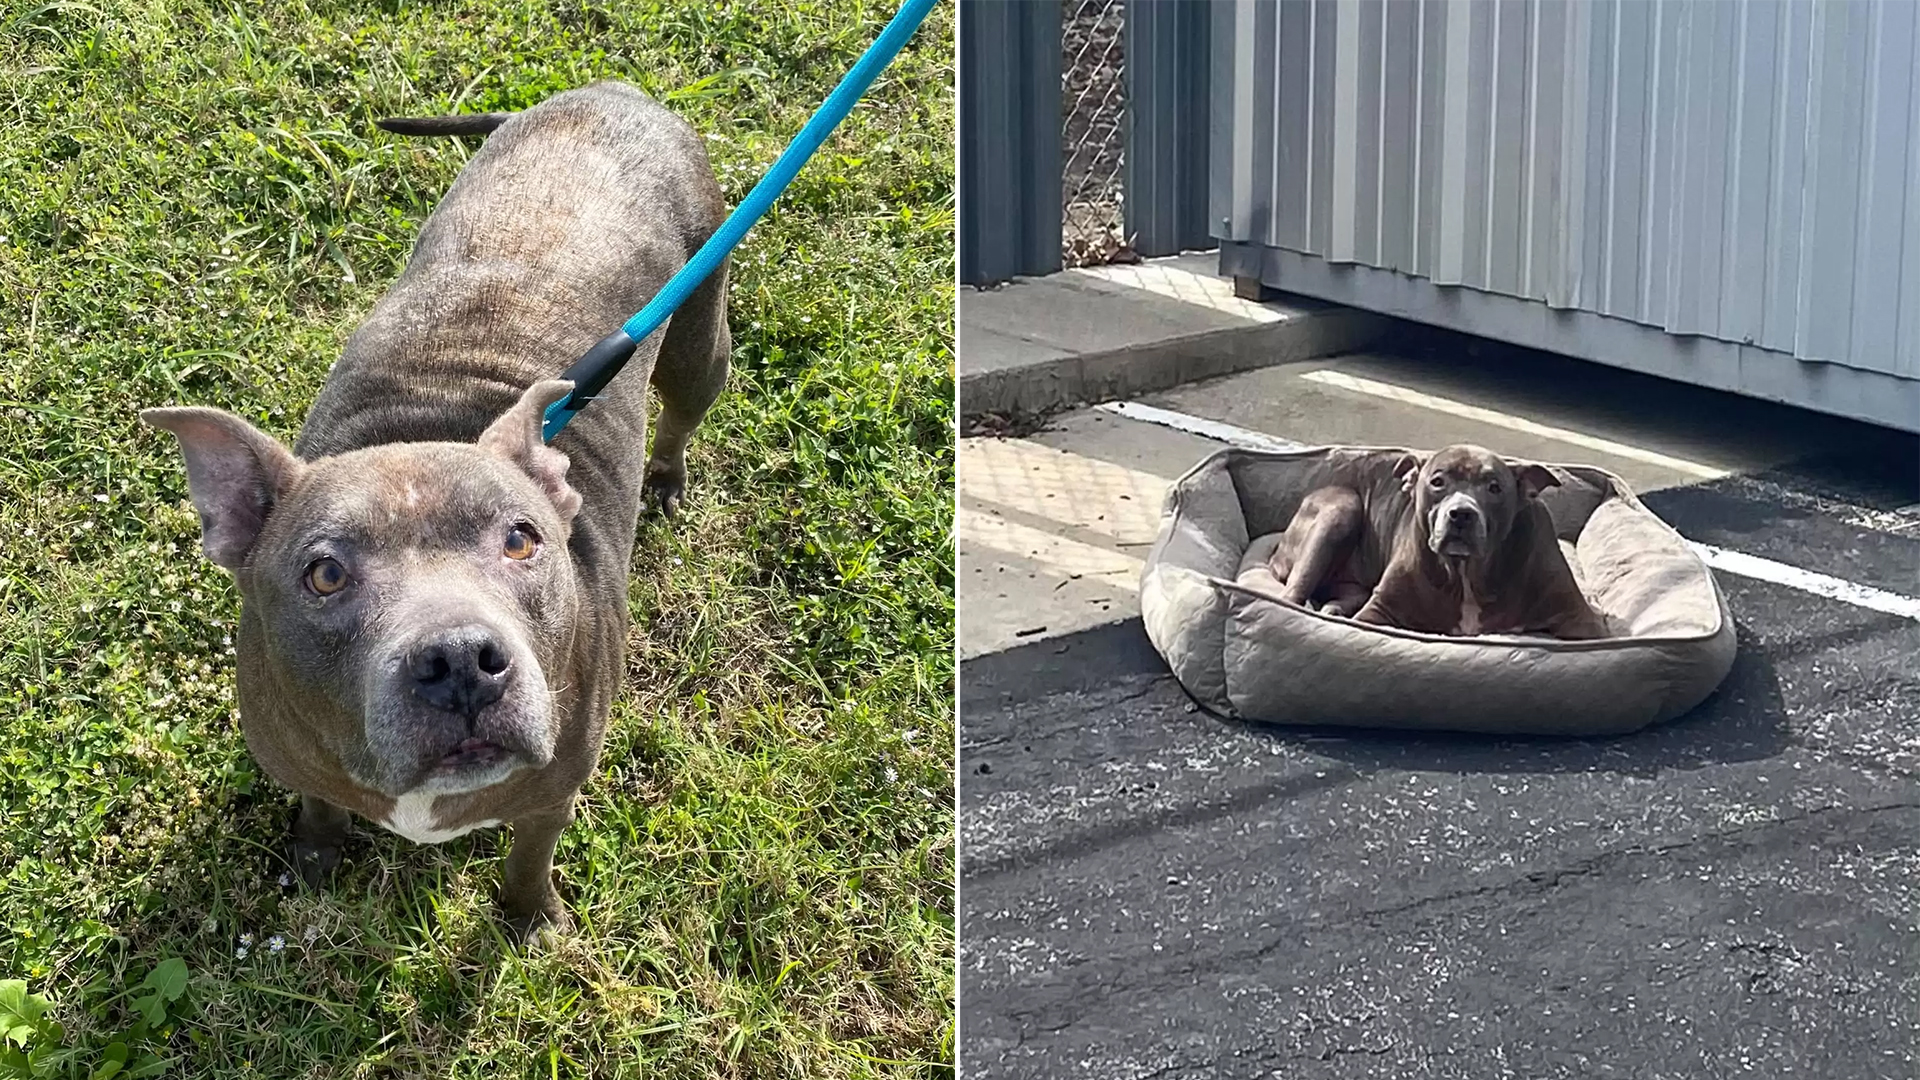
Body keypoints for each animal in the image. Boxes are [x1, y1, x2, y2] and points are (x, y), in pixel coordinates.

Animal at [139, 79, 725, 930]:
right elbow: (321, 805)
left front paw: (528, 918)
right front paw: (315, 855)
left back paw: (667, 478)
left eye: (521, 540)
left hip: (699, 339)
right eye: (324, 574)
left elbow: (529, 857)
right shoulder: (299, 764)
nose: (460, 662)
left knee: (683, 407)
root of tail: (612, 90)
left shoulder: (553, 797)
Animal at [1274, 441, 1605, 634]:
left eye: (1494, 487)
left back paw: (1334, 608)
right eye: (1437, 482)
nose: (1461, 514)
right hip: (1342, 508)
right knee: (1291, 596)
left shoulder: (1578, 617)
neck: (1467, 575)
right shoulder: (1379, 611)